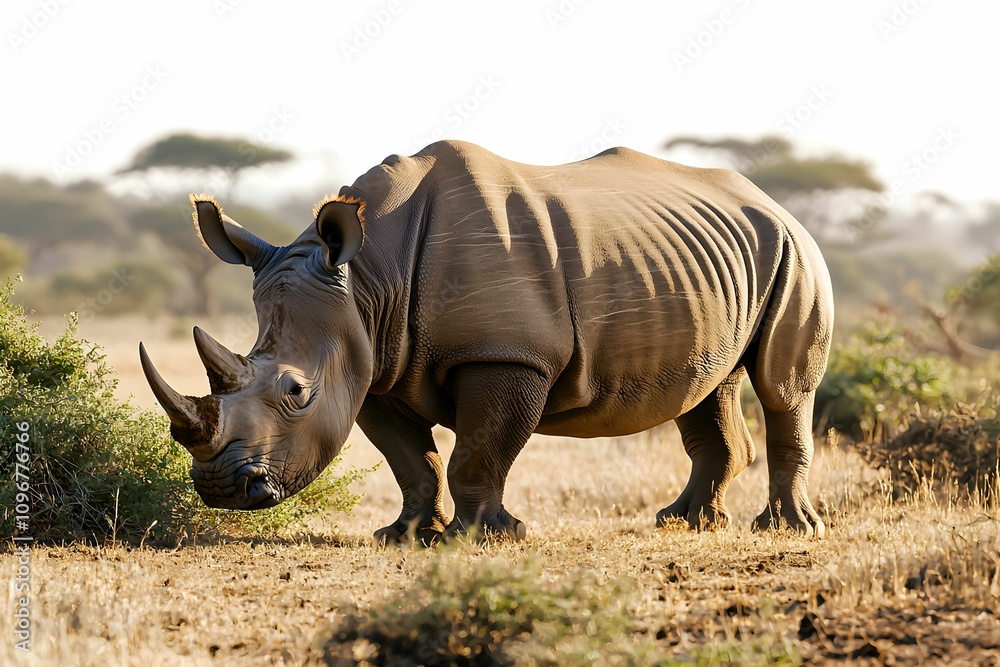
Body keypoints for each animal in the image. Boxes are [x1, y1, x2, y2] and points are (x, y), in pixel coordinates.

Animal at [139, 140, 833, 542]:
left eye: (296, 392)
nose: (221, 491)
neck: (368, 278)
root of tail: (768, 198)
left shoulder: (507, 356)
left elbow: (479, 452)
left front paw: (490, 538)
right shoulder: (374, 366)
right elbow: (412, 460)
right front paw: (405, 535)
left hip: (796, 252)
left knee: (782, 388)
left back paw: (788, 531)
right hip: (708, 260)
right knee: (706, 384)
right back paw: (685, 523)